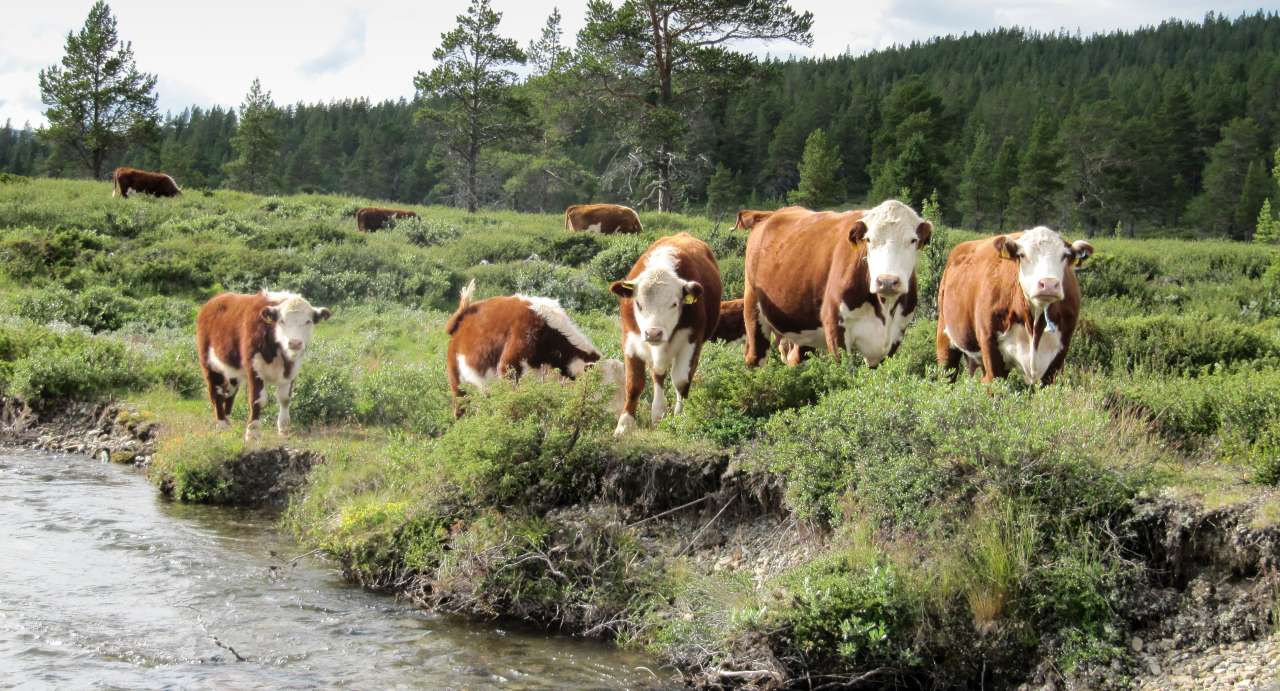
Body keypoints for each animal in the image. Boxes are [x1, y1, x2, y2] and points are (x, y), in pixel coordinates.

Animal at [195, 289, 330, 440]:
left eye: (308, 321)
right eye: (281, 321)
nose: (294, 343)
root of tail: (216, 299)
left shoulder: (291, 370)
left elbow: (285, 398)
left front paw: (284, 428)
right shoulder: (254, 368)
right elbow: (257, 400)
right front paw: (252, 432)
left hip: (232, 370)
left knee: (229, 392)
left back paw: (228, 421)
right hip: (209, 364)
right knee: (216, 392)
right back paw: (222, 424)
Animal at [606, 235, 721, 435]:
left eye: (674, 304)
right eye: (638, 303)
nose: (653, 333)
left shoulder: (692, 341)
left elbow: (681, 381)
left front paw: (680, 417)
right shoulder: (630, 341)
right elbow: (634, 384)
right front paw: (624, 424)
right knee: (658, 374)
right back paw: (658, 412)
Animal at [742, 199, 931, 368]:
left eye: (913, 240)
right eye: (869, 240)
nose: (887, 281)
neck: (884, 309)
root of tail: (768, 215)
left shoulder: (894, 337)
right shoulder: (835, 327)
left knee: (795, 358)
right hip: (753, 308)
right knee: (754, 358)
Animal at [936, 227, 1095, 386]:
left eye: (1065, 256)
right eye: (1022, 255)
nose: (1048, 284)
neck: (1035, 325)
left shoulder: (1058, 358)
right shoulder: (991, 350)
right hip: (945, 341)